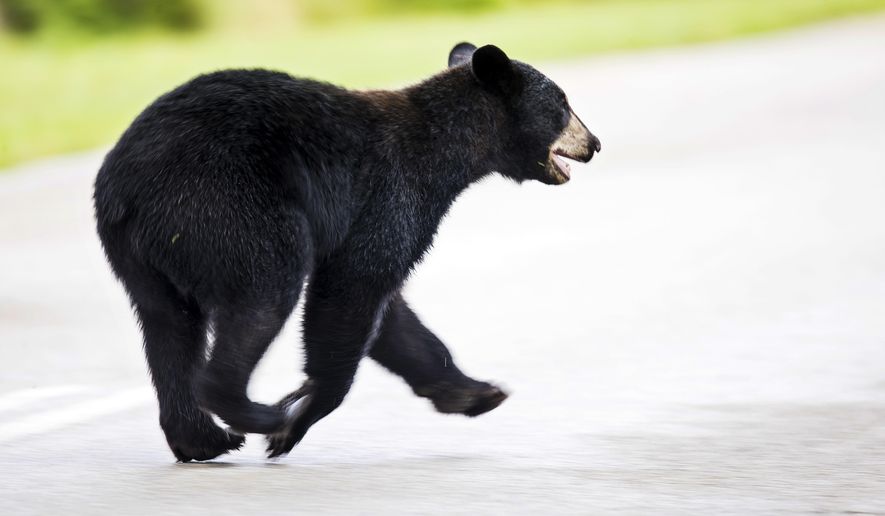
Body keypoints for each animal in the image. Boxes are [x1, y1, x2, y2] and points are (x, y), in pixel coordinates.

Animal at [93, 42, 600, 462]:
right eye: (562, 104)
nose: (594, 143)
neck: (445, 151)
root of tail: (125, 184)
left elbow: (393, 317)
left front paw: (475, 392)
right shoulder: (390, 194)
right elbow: (351, 291)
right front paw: (296, 421)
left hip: (143, 254)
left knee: (168, 325)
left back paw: (201, 439)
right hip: (226, 207)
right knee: (264, 293)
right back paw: (257, 414)